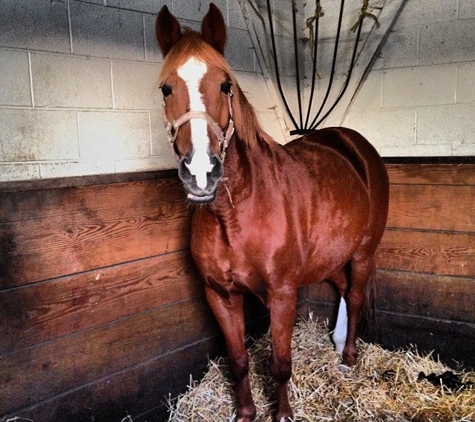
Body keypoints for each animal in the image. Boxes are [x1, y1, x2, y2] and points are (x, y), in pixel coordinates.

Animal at [156, 4, 390, 422]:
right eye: (166, 88)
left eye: (226, 86)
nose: (201, 172)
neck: (234, 215)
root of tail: (353, 143)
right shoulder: (219, 294)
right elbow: (238, 361)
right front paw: (246, 413)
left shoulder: (282, 293)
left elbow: (280, 363)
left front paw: (281, 414)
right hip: (331, 257)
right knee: (343, 289)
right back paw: (338, 342)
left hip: (363, 252)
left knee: (356, 295)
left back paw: (348, 357)